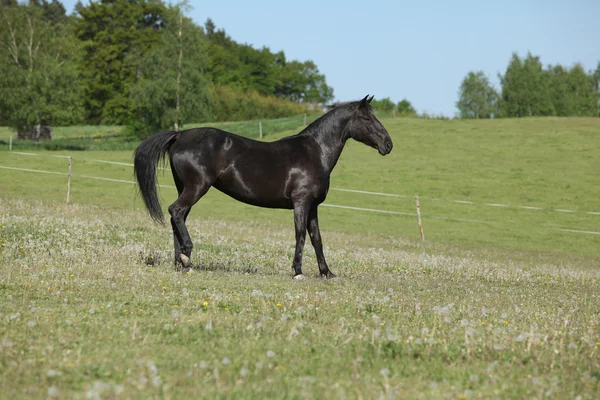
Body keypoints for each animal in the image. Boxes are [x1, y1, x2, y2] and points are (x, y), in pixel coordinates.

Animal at [132, 95, 394, 280]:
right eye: (368, 119)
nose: (388, 144)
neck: (315, 152)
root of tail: (180, 134)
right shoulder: (301, 202)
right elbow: (300, 235)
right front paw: (298, 271)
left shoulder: (313, 206)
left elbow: (317, 238)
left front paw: (326, 272)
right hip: (196, 188)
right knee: (175, 212)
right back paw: (186, 256)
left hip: (185, 188)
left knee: (178, 218)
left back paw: (182, 262)